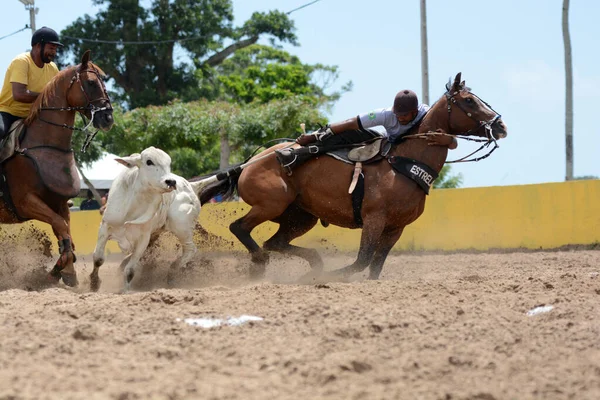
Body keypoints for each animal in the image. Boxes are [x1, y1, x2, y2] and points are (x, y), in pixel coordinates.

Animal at [0, 50, 113, 288]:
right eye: (91, 83)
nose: (107, 118)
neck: (44, 145)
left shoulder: (59, 203)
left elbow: (65, 233)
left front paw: (66, 270)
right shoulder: (26, 202)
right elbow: (61, 228)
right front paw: (60, 269)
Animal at [91, 147, 206, 290]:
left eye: (169, 164)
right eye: (149, 162)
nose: (171, 182)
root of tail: (192, 185)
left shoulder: (143, 238)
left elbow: (130, 270)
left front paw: (126, 289)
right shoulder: (105, 226)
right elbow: (98, 258)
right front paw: (94, 283)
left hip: (181, 227)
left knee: (190, 249)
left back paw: (172, 271)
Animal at [200, 74, 506, 282]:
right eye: (469, 100)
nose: (500, 125)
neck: (403, 163)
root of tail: (248, 164)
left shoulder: (396, 228)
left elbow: (375, 266)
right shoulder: (374, 219)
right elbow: (362, 261)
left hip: (301, 216)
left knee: (273, 242)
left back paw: (310, 262)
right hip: (270, 204)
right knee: (241, 228)